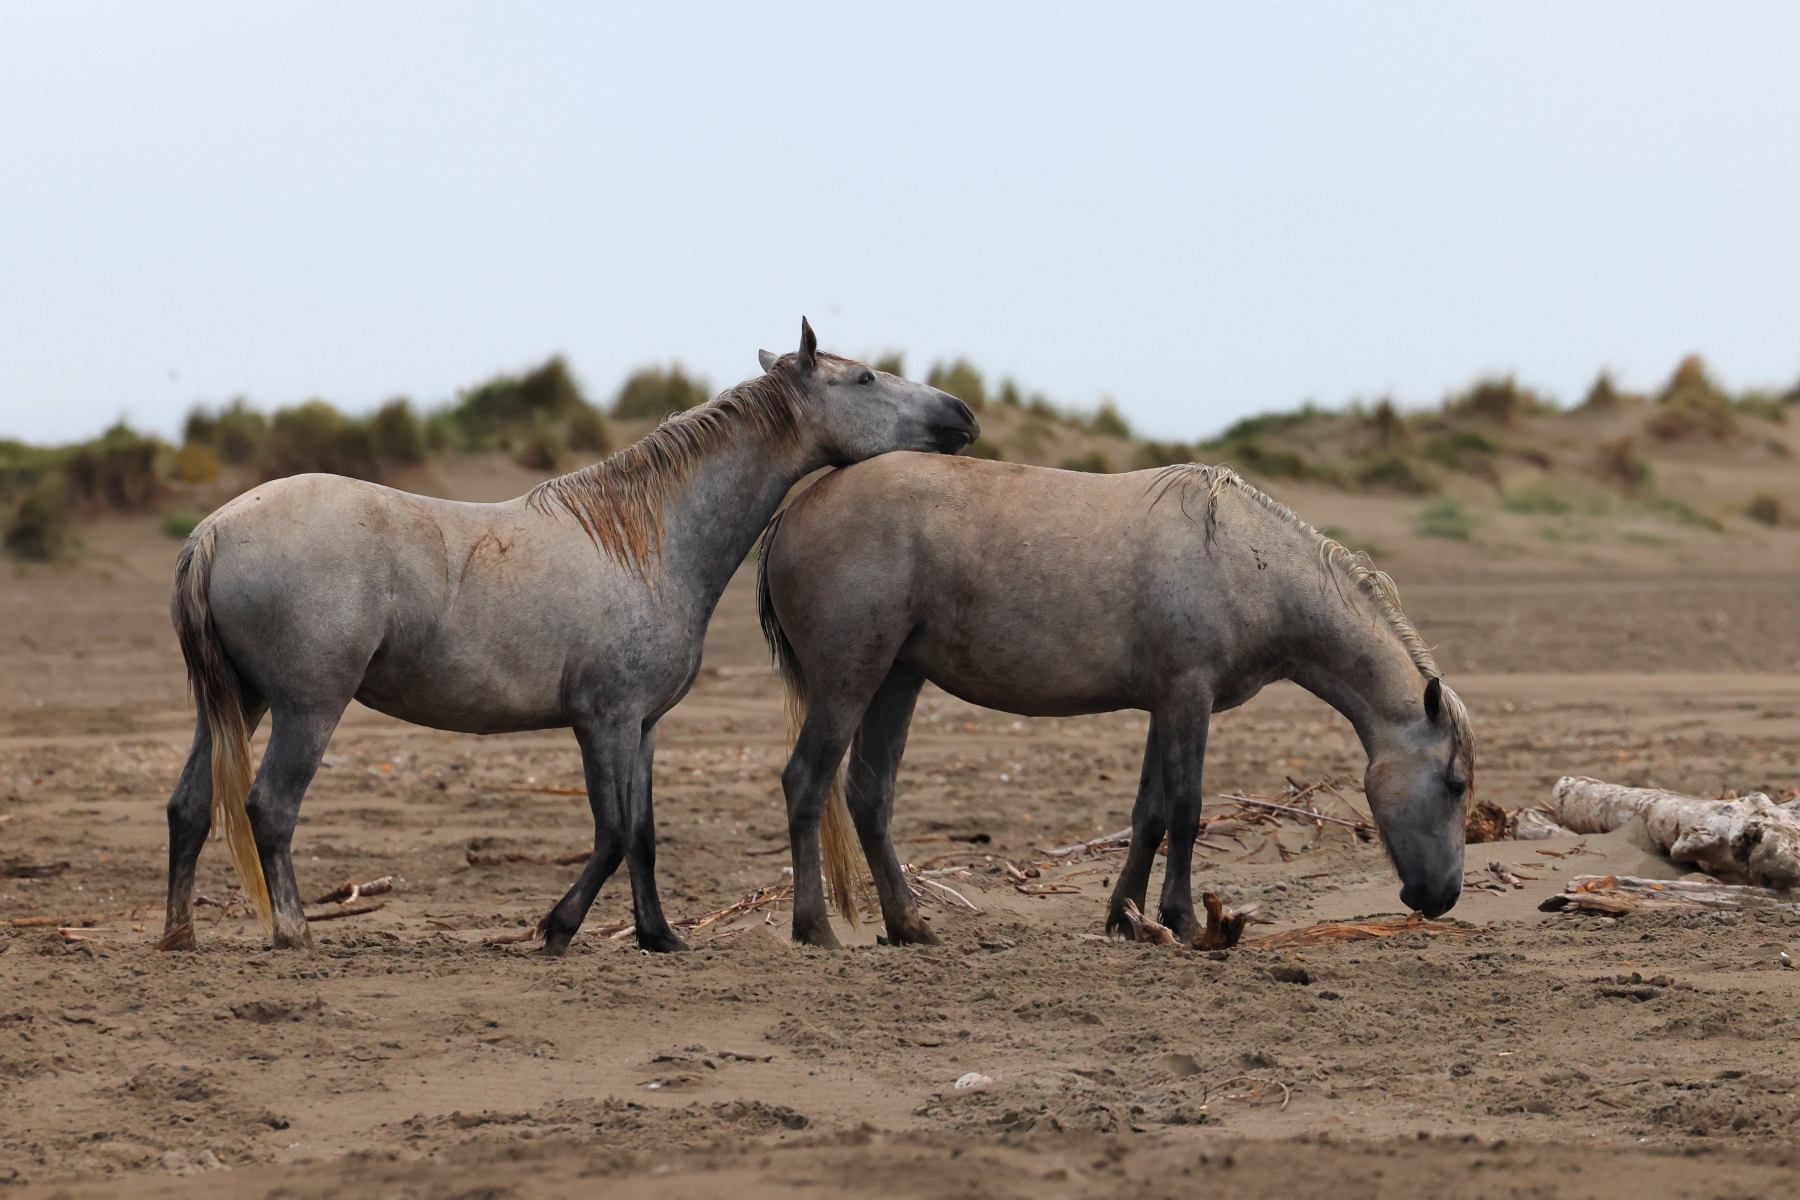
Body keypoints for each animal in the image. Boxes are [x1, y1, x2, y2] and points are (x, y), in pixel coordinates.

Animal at [159, 319, 978, 955]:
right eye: (865, 377)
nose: (962, 414)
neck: (644, 541)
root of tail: (214, 530)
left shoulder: (641, 726)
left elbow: (642, 834)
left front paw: (659, 936)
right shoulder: (601, 721)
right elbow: (611, 833)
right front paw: (557, 928)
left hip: (237, 703)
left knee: (190, 807)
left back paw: (180, 936)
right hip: (307, 707)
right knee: (270, 807)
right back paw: (293, 932)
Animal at [756, 454, 1475, 948]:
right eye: (1455, 783)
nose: (1443, 896)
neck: (1244, 562)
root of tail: (794, 510)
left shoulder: (1165, 705)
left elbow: (1149, 814)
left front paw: (1125, 917)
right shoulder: (1189, 698)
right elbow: (1186, 810)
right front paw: (1181, 919)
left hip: (896, 680)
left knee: (868, 795)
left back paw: (911, 927)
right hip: (851, 679)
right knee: (807, 783)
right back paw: (815, 928)